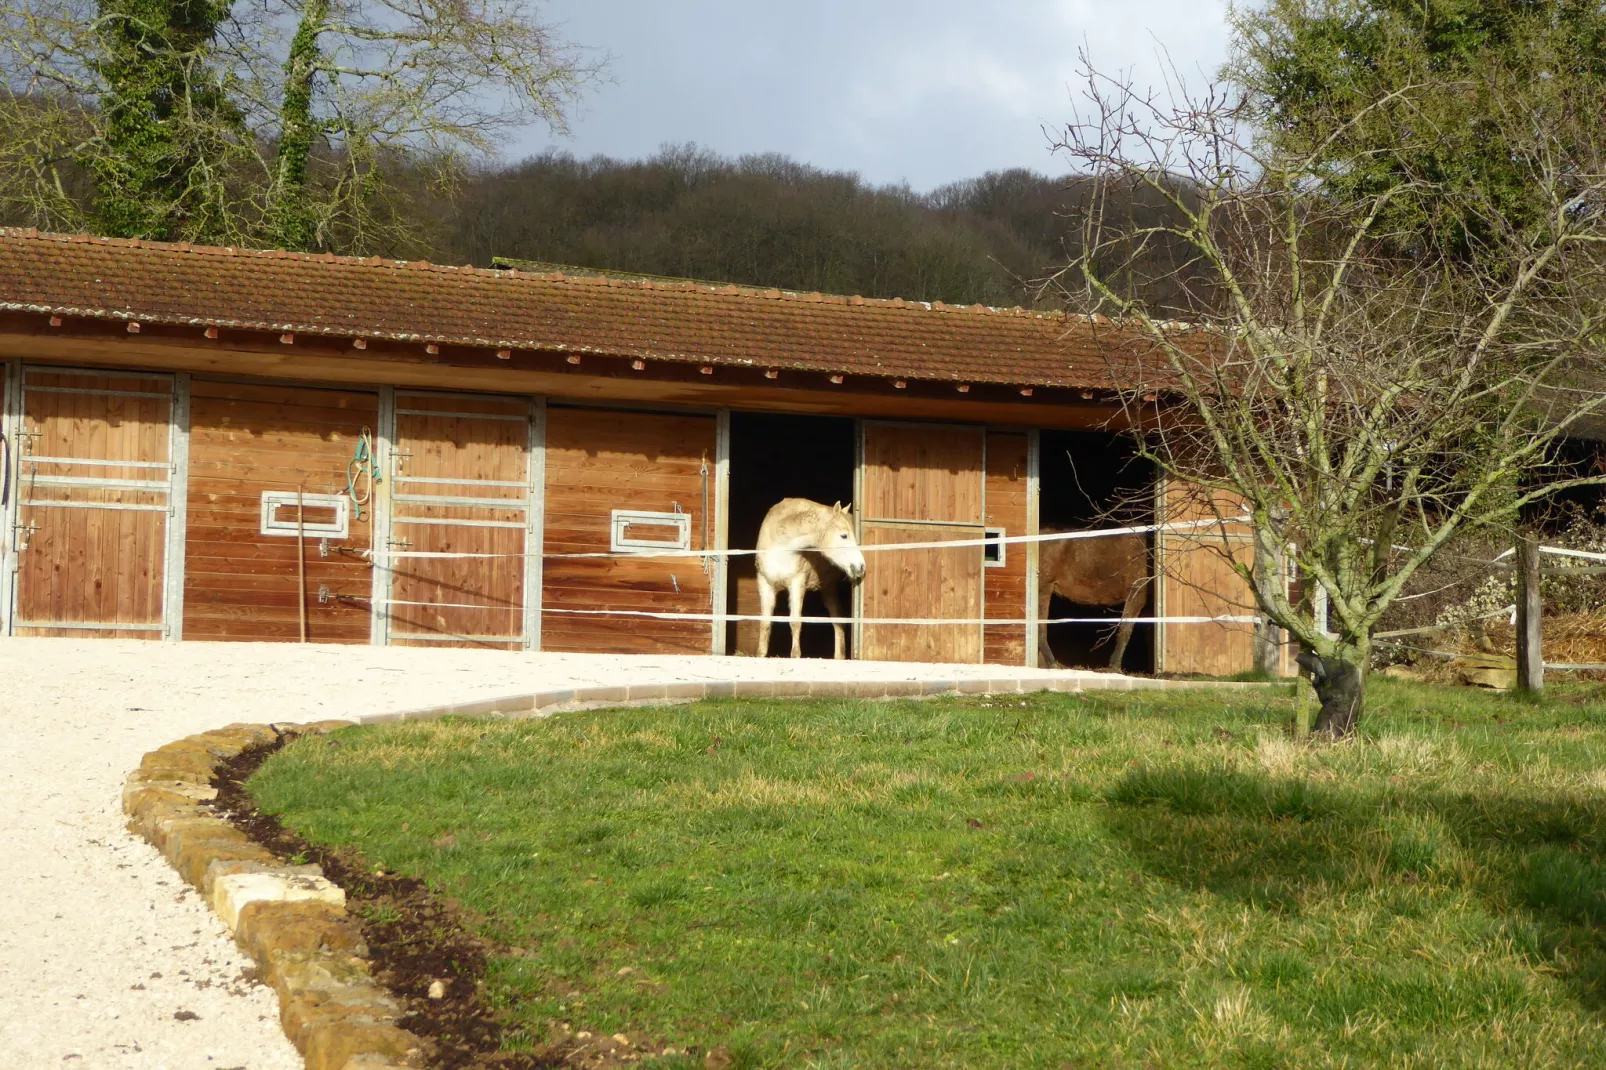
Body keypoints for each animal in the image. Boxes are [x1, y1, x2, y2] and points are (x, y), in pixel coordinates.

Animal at [754, 494, 867, 655]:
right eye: (844, 536)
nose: (861, 566)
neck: (780, 546)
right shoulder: (765, 583)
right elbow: (765, 623)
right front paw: (761, 654)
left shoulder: (797, 583)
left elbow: (795, 622)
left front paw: (795, 655)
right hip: (828, 589)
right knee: (837, 618)